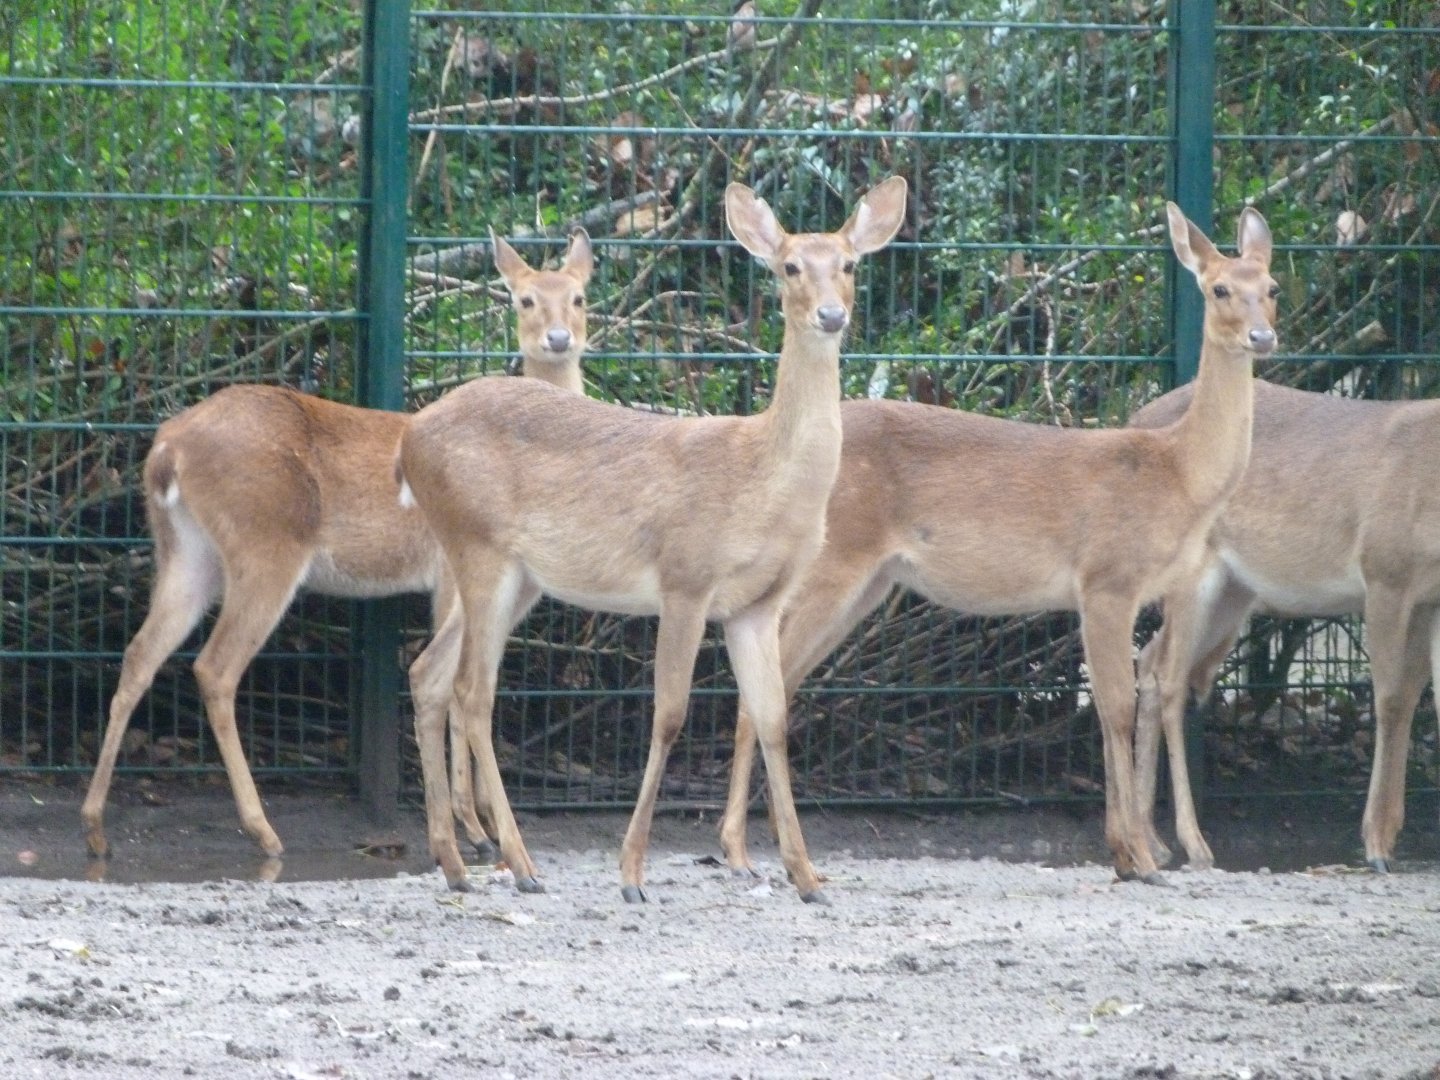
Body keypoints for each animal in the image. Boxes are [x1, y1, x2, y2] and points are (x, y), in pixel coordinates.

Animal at [82, 228, 594, 883]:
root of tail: (165, 452)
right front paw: (475, 831)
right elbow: (459, 684)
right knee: (215, 666)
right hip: (267, 546)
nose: (558, 338)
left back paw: (96, 827)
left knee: (140, 654)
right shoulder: (451, 573)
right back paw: (263, 831)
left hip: (186, 552)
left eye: (578, 296)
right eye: (524, 299)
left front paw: (474, 826)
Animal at [396, 176, 908, 902]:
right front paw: (632, 872)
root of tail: (407, 439)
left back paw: (456, 863)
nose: (832, 316)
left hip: (518, 576)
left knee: (431, 672)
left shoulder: (756, 605)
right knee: (473, 690)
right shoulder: (686, 578)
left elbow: (773, 718)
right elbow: (669, 715)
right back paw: (519, 864)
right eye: (788, 267)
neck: (762, 481)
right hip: (479, 545)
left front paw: (805, 875)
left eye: (850, 264)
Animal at [717, 202, 1278, 887]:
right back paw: (741, 850)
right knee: (762, 684)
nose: (1262, 337)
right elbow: (1115, 707)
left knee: (777, 681)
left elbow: (1111, 708)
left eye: (1272, 287)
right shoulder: (1107, 579)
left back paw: (759, 848)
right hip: (834, 563)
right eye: (1219, 288)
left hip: (870, 583)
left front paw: (1125, 854)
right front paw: (1141, 858)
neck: (1177, 473)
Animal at [1129, 378, 1440, 874]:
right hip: (1193, 574)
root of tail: (1134, 419)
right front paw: (1376, 844)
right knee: (1169, 678)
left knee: (1148, 659)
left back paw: (1151, 841)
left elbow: (1424, 696)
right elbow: (1391, 700)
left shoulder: (1431, 595)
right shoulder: (1385, 573)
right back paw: (1193, 844)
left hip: (1234, 593)